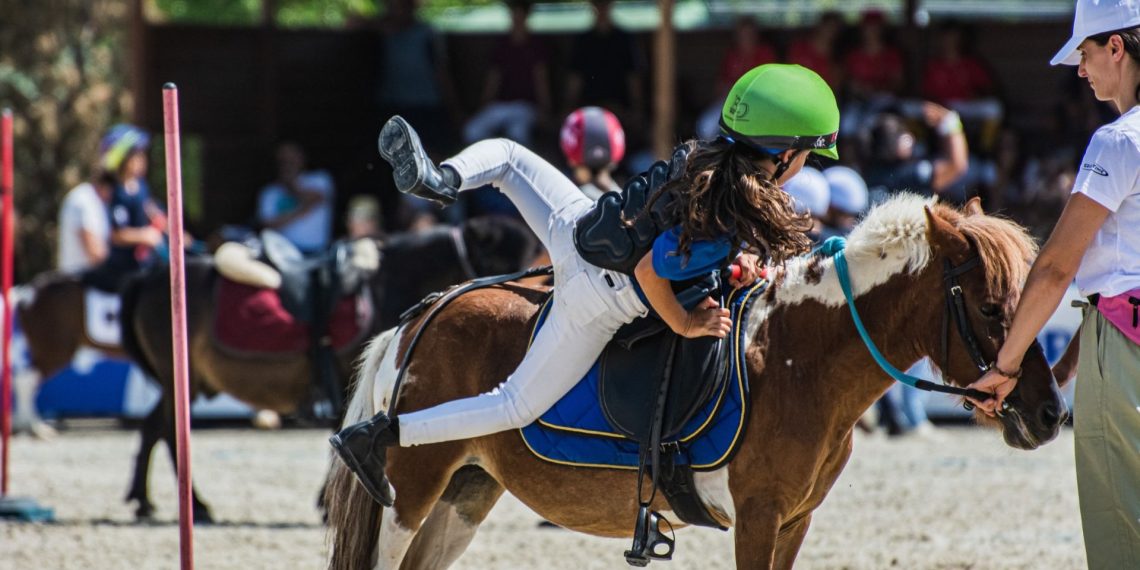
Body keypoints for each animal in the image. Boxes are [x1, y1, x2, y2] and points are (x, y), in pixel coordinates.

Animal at [54, 217, 535, 523]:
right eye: (508, 256)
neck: (384, 284)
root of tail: (151, 273)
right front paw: (328, 500)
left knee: (153, 428)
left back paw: (147, 501)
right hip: (180, 380)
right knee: (170, 433)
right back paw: (192, 506)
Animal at [323, 195, 1068, 570]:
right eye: (992, 308)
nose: (1050, 414)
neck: (796, 358)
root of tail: (425, 313)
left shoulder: (795, 520)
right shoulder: (759, 516)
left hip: (466, 492)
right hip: (412, 493)